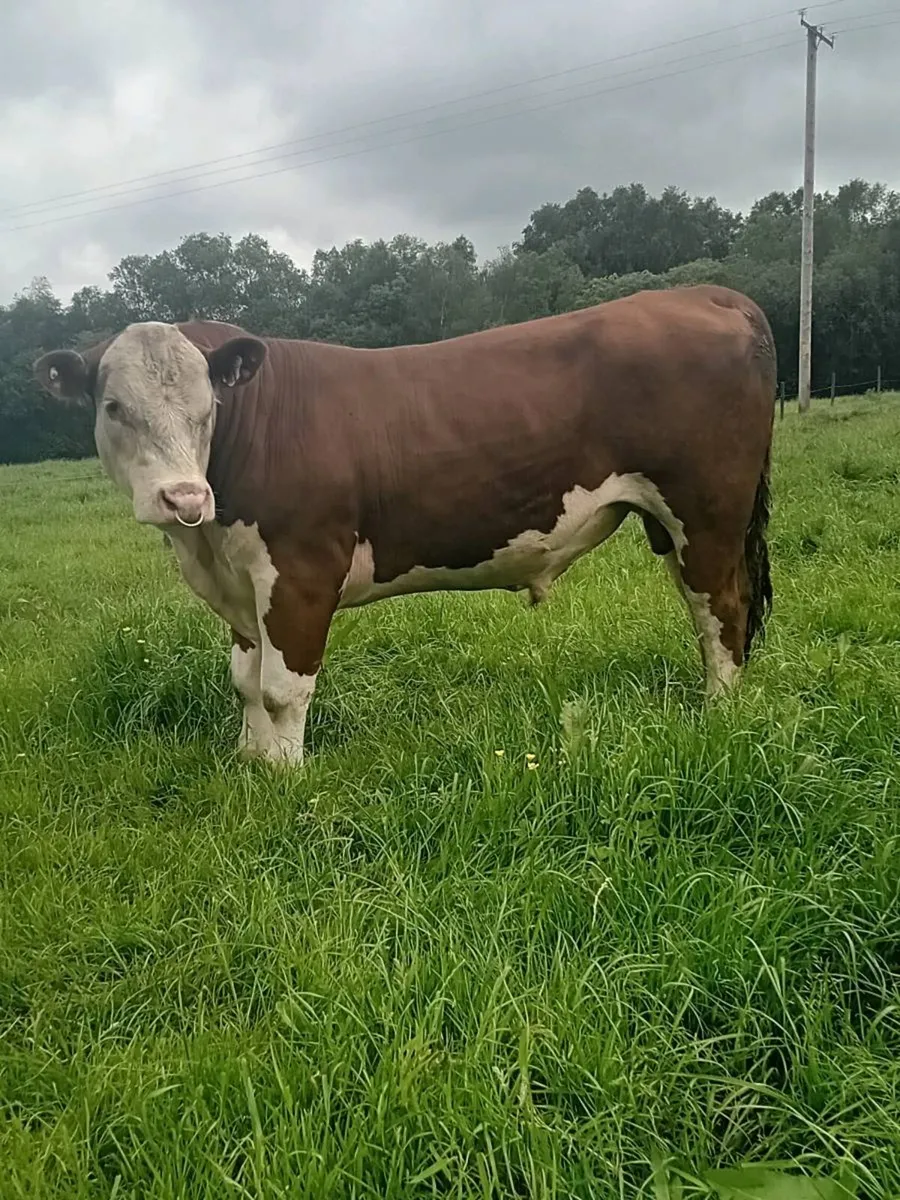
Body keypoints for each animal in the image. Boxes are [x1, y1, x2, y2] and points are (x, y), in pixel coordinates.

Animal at [34, 284, 775, 766]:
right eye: (113, 406)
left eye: (207, 405)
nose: (183, 496)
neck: (204, 542)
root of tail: (704, 293)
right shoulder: (240, 584)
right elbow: (245, 680)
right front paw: (250, 763)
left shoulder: (301, 571)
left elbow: (280, 687)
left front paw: (283, 777)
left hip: (707, 510)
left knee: (722, 608)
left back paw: (719, 713)